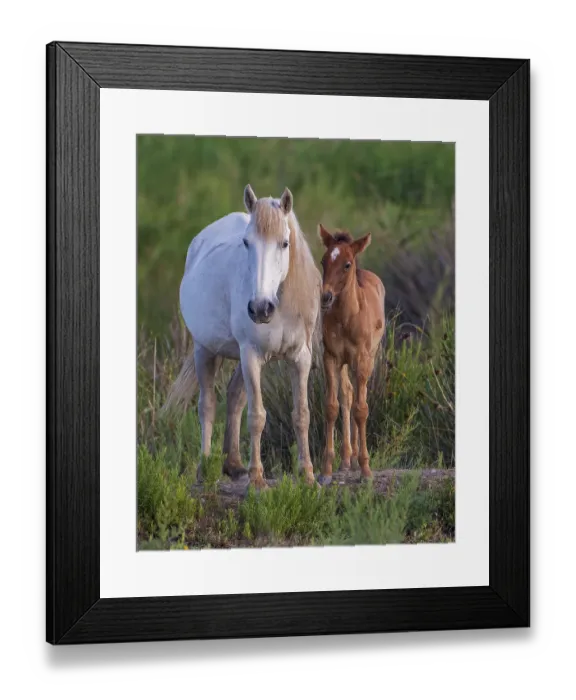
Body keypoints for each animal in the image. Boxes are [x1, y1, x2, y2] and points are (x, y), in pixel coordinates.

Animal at [162, 185, 322, 490]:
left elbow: (302, 415)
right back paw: (205, 468)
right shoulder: (251, 355)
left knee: (234, 396)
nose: (260, 308)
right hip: (206, 351)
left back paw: (234, 465)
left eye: (285, 243)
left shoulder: (300, 359)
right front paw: (257, 479)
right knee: (207, 405)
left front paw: (308, 476)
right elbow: (257, 416)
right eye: (246, 243)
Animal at [316, 223, 386, 485]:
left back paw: (356, 459)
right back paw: (347, 459)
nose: (325, 297)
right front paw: (326, 470)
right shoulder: (331, 358)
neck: (347, 319)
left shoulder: (363, 359)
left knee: (357, 396)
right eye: (323, 260)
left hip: (368, 358)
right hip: (345, 363)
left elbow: (361, 409)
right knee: (347, 394)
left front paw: (366, 469)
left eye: (347, 264)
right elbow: (332, 406)